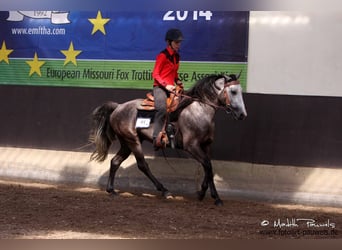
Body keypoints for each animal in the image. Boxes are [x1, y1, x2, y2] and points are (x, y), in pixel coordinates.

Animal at [89, 73, 247, 206]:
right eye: (233, 91)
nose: (242, 114)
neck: (199, 110)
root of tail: (118, 107)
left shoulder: (206, 145)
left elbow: (208, 167)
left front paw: (209, 194)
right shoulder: (192, 146)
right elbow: (207, 166)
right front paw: (209, 195)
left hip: (126, 143)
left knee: (115, 161)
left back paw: (111, 190)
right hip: (133, 142)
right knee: (142, 165)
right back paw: (164, 190)